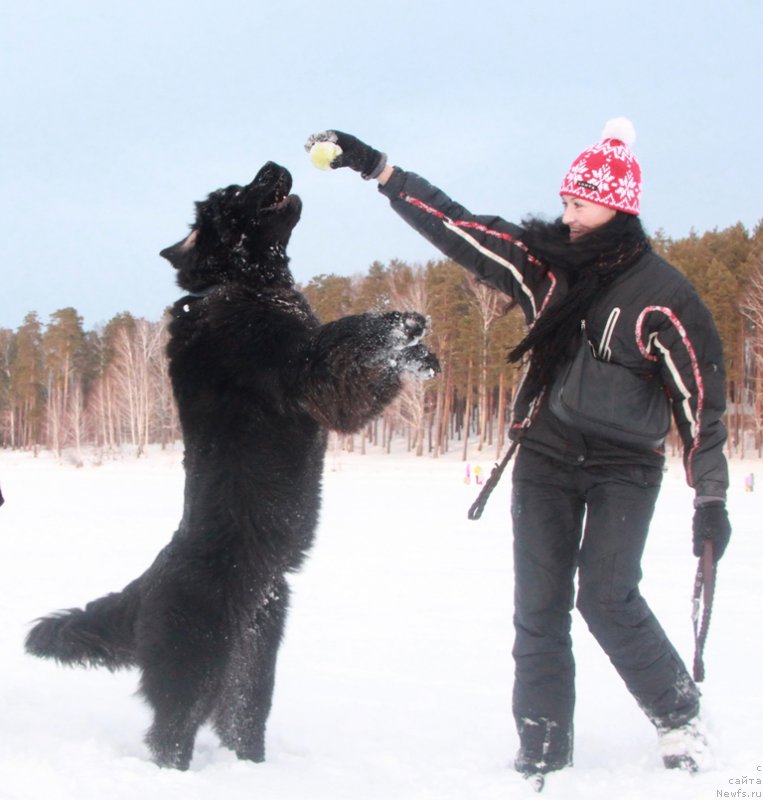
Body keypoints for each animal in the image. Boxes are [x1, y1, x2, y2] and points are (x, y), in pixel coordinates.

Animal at [23, 161, 438, 768]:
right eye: (235, 193)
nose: (273, 165)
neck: (241, 286)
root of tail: (148, 585)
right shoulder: (304, 367)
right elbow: (351, 334)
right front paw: (403, 323)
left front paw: (421, 353)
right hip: (195, 665)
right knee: (169, 734)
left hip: (251, 663)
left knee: (241, 721)